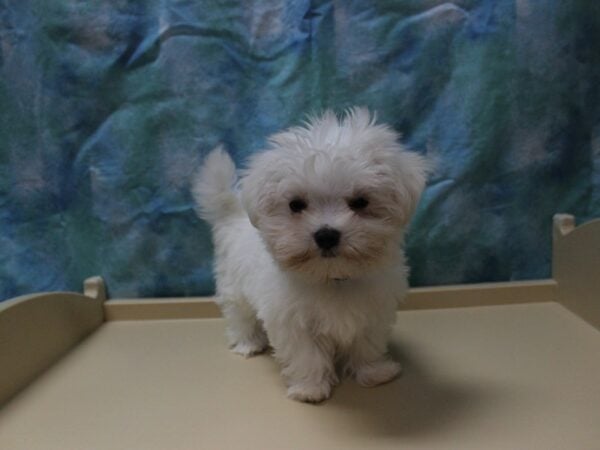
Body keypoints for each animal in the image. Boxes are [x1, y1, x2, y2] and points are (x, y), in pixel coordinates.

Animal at [192, 107, 426, 402]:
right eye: (296, 205)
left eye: (360, 202)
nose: (326, 235)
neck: (333, 277)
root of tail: (233, 215)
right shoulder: (291, 321)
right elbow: (306, 354)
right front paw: (310, 388)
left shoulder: (374, 311)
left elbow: (367, 343)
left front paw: (374, 372)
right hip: (233, 285)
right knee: (240, 314)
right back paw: (248, 343)